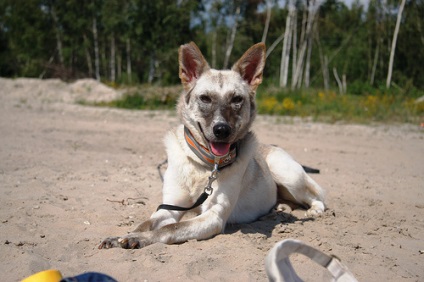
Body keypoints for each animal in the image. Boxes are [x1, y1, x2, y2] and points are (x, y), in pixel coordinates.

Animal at [98, 41, 324, 249]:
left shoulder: (213, 216)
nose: (222, 130)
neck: (204, 164)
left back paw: (314, 210)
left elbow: (170, 229)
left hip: (287, 175)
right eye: (205, 98)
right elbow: (147, 223)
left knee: (318, 197)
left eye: (237, 99)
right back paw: (280, 209)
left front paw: (139, 239)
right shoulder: (169, 207)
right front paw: (123, 236)